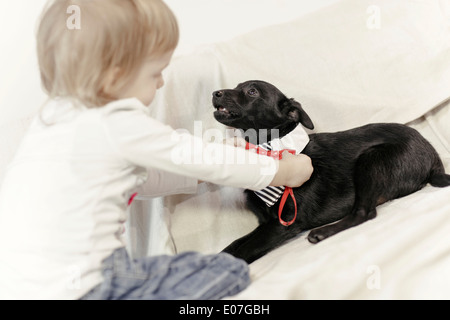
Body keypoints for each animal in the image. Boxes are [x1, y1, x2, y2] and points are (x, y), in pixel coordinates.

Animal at [213, 80, 450, 262]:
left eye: (252, 91)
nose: (215, 93)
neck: (268, 148)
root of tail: (433, 155)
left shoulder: (283, 221)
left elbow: (242, 251)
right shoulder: (266, 223)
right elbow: (233, 244)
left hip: (370, 160)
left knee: (365, 213)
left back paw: (321, 233)